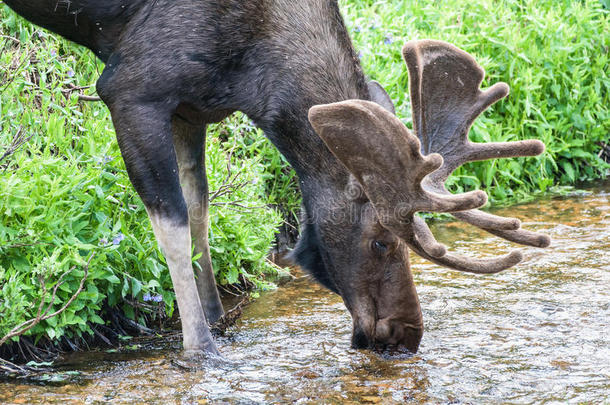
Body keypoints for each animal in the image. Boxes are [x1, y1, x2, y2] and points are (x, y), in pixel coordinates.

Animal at [2, 0, 548, 354]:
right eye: (381, 241)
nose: (407, 333)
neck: (255, 74)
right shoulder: (132, 89)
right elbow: (172, 224)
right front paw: (200, 347)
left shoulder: (192, 107)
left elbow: (200, 209)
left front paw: (218, 318)